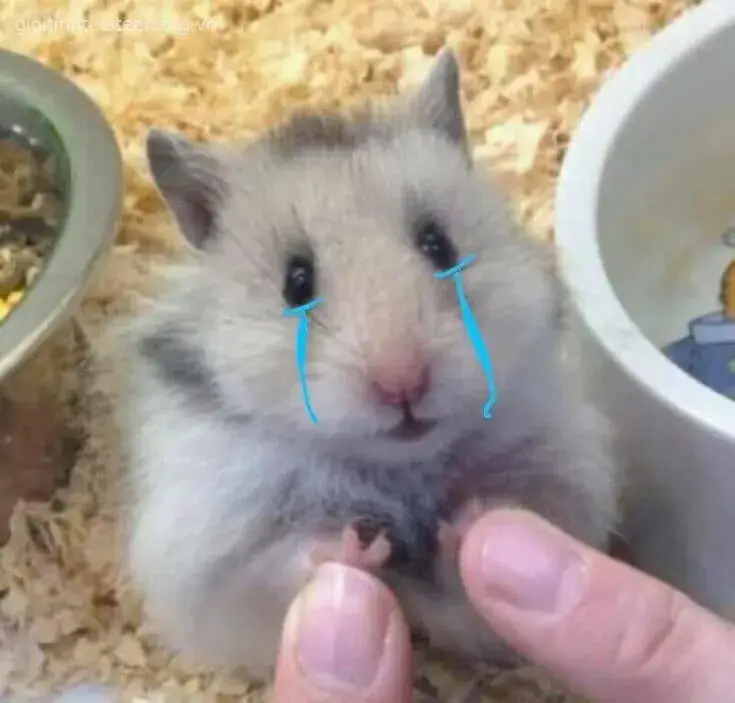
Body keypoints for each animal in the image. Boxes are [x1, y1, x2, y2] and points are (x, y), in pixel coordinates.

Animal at [117, 48, 621, 684]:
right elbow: (291, 559)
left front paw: (469, 516)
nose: (403, 385)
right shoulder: (214, 539)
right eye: (296, 281)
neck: (397, 466)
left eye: (438, 244)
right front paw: (359, 549)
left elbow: (496, 534)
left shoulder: (564, 471)